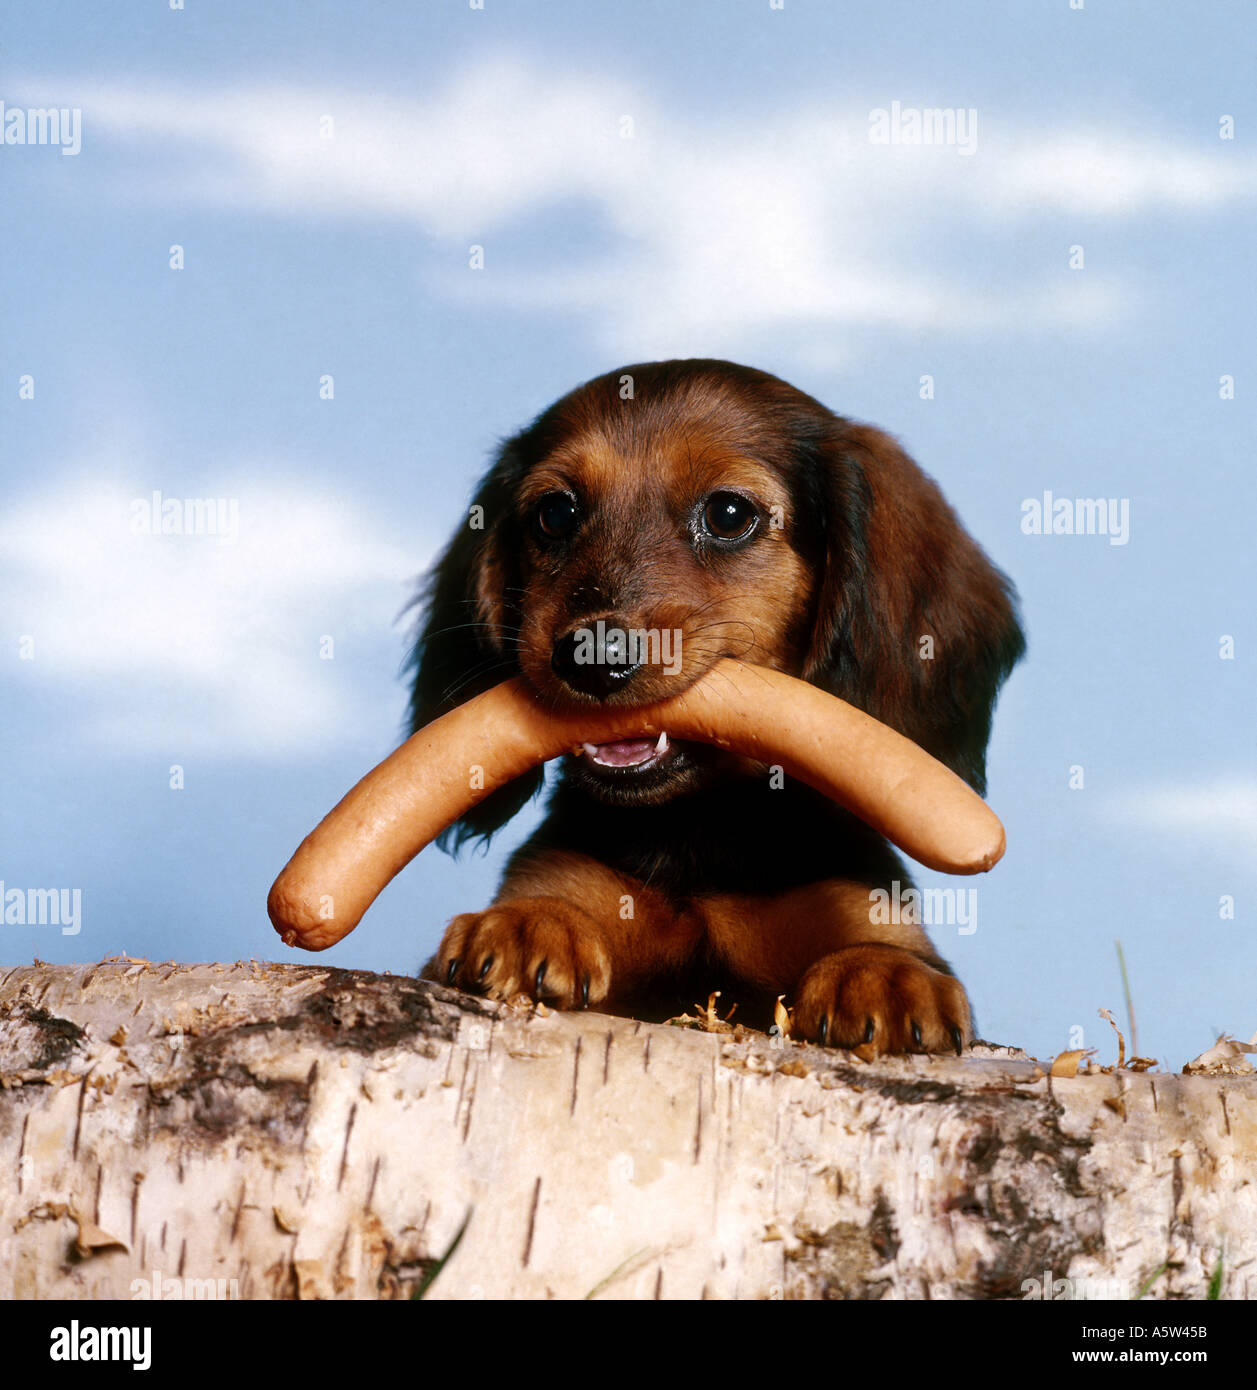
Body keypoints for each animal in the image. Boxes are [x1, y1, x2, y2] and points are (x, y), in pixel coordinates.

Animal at [411, 358, 1023, 1050]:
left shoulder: (856, 897)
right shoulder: (572, 875)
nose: (590, 655)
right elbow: (550, 898)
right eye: (555, 514)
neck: (697, 838)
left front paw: (884, 976)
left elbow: (883, 945)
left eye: (729, 514)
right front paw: (526, 923)